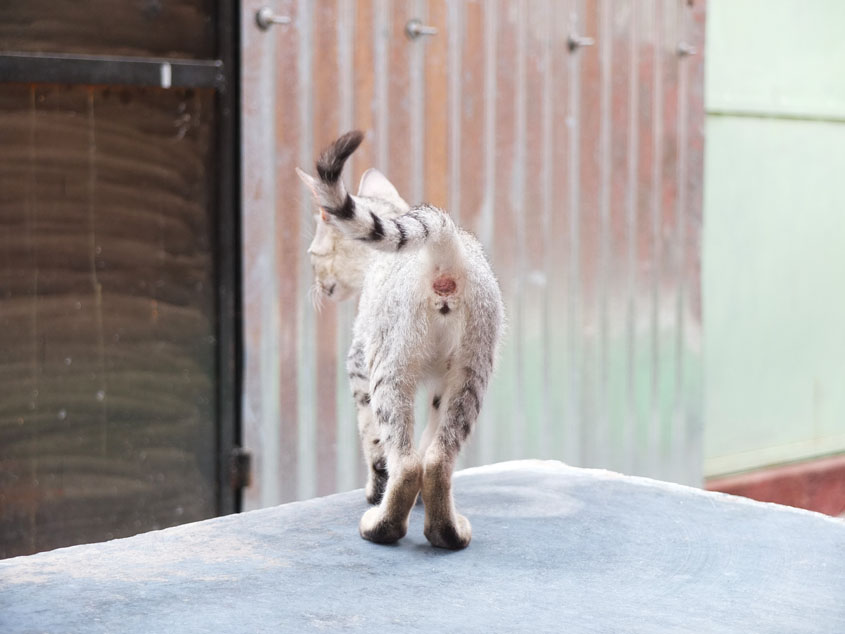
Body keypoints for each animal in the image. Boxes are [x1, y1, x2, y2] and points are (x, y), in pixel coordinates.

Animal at [296, 131, 502, 544]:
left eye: (313, 255)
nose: (319, 285)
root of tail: (445, 242)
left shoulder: (358, 364)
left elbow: (376, 444)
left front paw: (376, 489)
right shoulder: (441, 386)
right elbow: (427, 443)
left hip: (390, 369)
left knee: (406, 463)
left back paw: (382, 527)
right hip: (471, 374)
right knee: (438, 459)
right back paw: (446, 532)